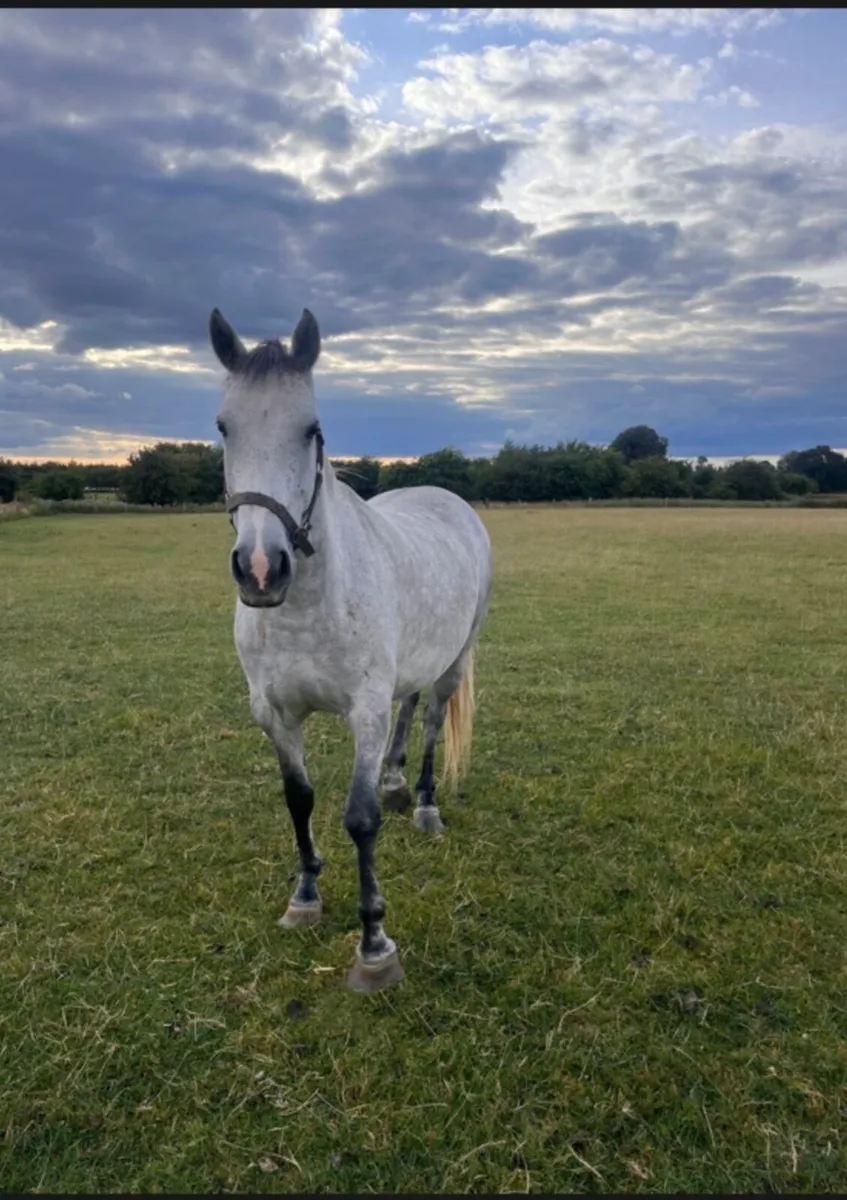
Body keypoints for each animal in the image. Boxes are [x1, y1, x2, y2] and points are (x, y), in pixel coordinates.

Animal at [209, 306, 493, 992]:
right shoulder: (275, 715)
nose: (261, 569)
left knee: (432, 719)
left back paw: (423, 806)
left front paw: (374, 946)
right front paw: (305, 897)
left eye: (311, 429)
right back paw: (394, 783)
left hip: (453, 661)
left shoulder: (363, 711)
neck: (306, 609)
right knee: (409, 707)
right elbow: (299, 798)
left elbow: (359, 819)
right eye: (224, 427)